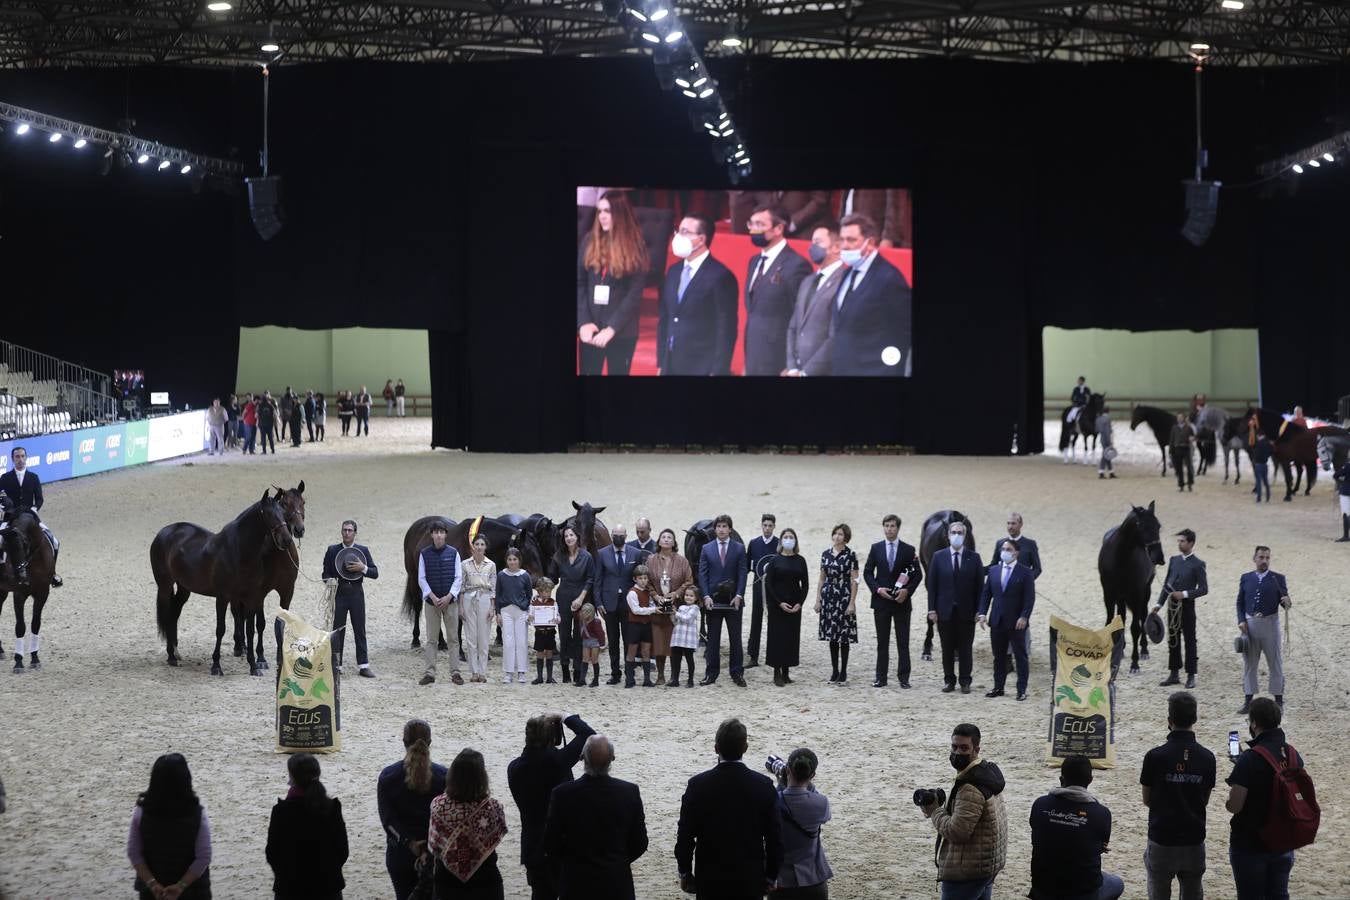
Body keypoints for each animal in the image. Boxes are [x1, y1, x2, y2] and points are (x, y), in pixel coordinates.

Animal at [0, 518, 56, 671]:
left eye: (23, 546)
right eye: (4, 548)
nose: (20, 576)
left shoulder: (42, 593)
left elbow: (35, 624)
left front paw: (35, 658)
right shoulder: (19, 594)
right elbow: (20, 626)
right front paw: (18, 661)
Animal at [151, 485, 307, 674]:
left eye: (281, 511)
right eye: (270, 513)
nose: (287, 539)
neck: (238, 551)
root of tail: (164, 532)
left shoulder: (252, 596)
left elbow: (251, 629)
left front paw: (253, 666)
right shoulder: (223, 597)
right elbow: (221, 629)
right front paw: (216, 666)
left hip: (184, 588)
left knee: (174, 613)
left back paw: (175, 652)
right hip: (165, 586)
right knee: (168, 614)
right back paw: (171, 656)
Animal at [1096, 504, 1161, 671]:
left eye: (1158, 526)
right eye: (1143, 527)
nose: (1159, 557)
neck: (1121, 556)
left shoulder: (1136, 593)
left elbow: (1135, 628)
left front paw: (1135, 664)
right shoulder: (1109, 592)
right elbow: (1111, 622)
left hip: (1145, 591)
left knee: (1143, 615)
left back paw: (1144, 650)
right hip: (1121, 596)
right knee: (1123, 616)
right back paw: (1122, 647)